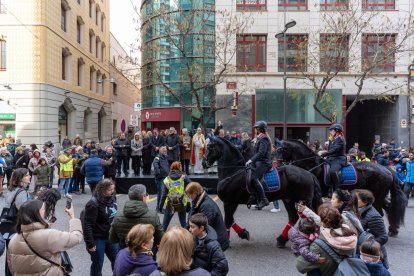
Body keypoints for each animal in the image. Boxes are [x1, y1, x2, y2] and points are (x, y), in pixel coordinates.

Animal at [276, 139, 406, 234]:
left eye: (281, 149)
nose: (277, 164)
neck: (312, 165)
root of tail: (387, 169)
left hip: (377, 197)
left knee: (380, 212)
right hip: (379, 196)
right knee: (388, 208)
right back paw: (393, 230)